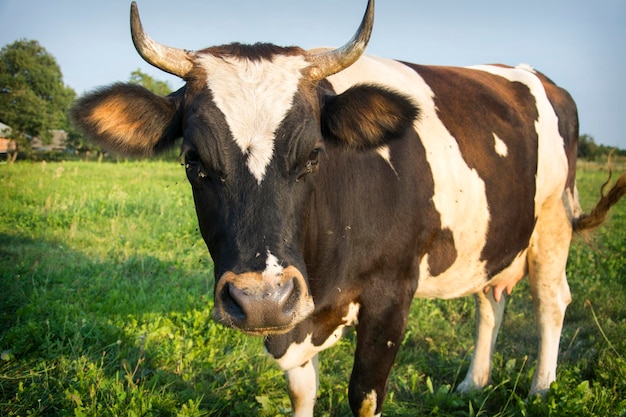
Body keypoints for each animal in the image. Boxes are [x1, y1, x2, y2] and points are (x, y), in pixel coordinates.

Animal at [69, 1, 624, 414]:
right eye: (193, 161)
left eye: (314, 155)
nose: (261, 300)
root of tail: (532, 74)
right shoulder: (295, 318)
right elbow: (302, 392)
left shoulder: (391, 294)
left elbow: (365, 395)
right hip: (494, 237)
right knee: (490, 298)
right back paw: (473, 383)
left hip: (552, 221)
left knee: (551, 301)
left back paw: (540, 390)